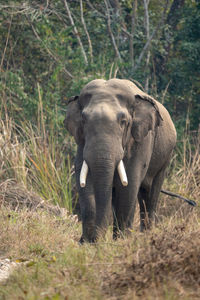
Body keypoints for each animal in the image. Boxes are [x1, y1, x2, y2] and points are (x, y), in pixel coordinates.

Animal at [64, 78, 177, 243]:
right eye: (84, 120)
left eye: (123, 121)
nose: (95, 240)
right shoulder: (81, 142)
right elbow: (83, 180)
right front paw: (85, 243)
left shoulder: (140, 140)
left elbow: (129, 183)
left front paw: (121, 242)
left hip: (165, 159)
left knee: (150, 193)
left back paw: (146, 235)